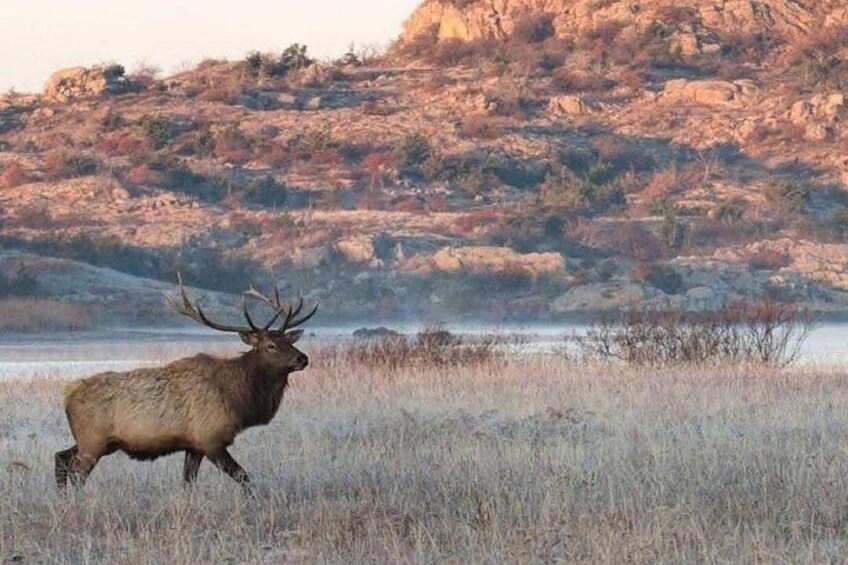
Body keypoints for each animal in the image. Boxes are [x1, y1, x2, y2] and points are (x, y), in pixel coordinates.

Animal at [55, 276, 317, 493]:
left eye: (288, 341)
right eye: (270, 346)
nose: (302, 358)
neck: (239, 400)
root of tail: (67, 394)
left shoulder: (194, 445)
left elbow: (188, 482)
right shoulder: (210, 438)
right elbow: (243, 476)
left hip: (96, 442)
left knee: (61, 458)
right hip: (92, 440)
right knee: (76, 474)